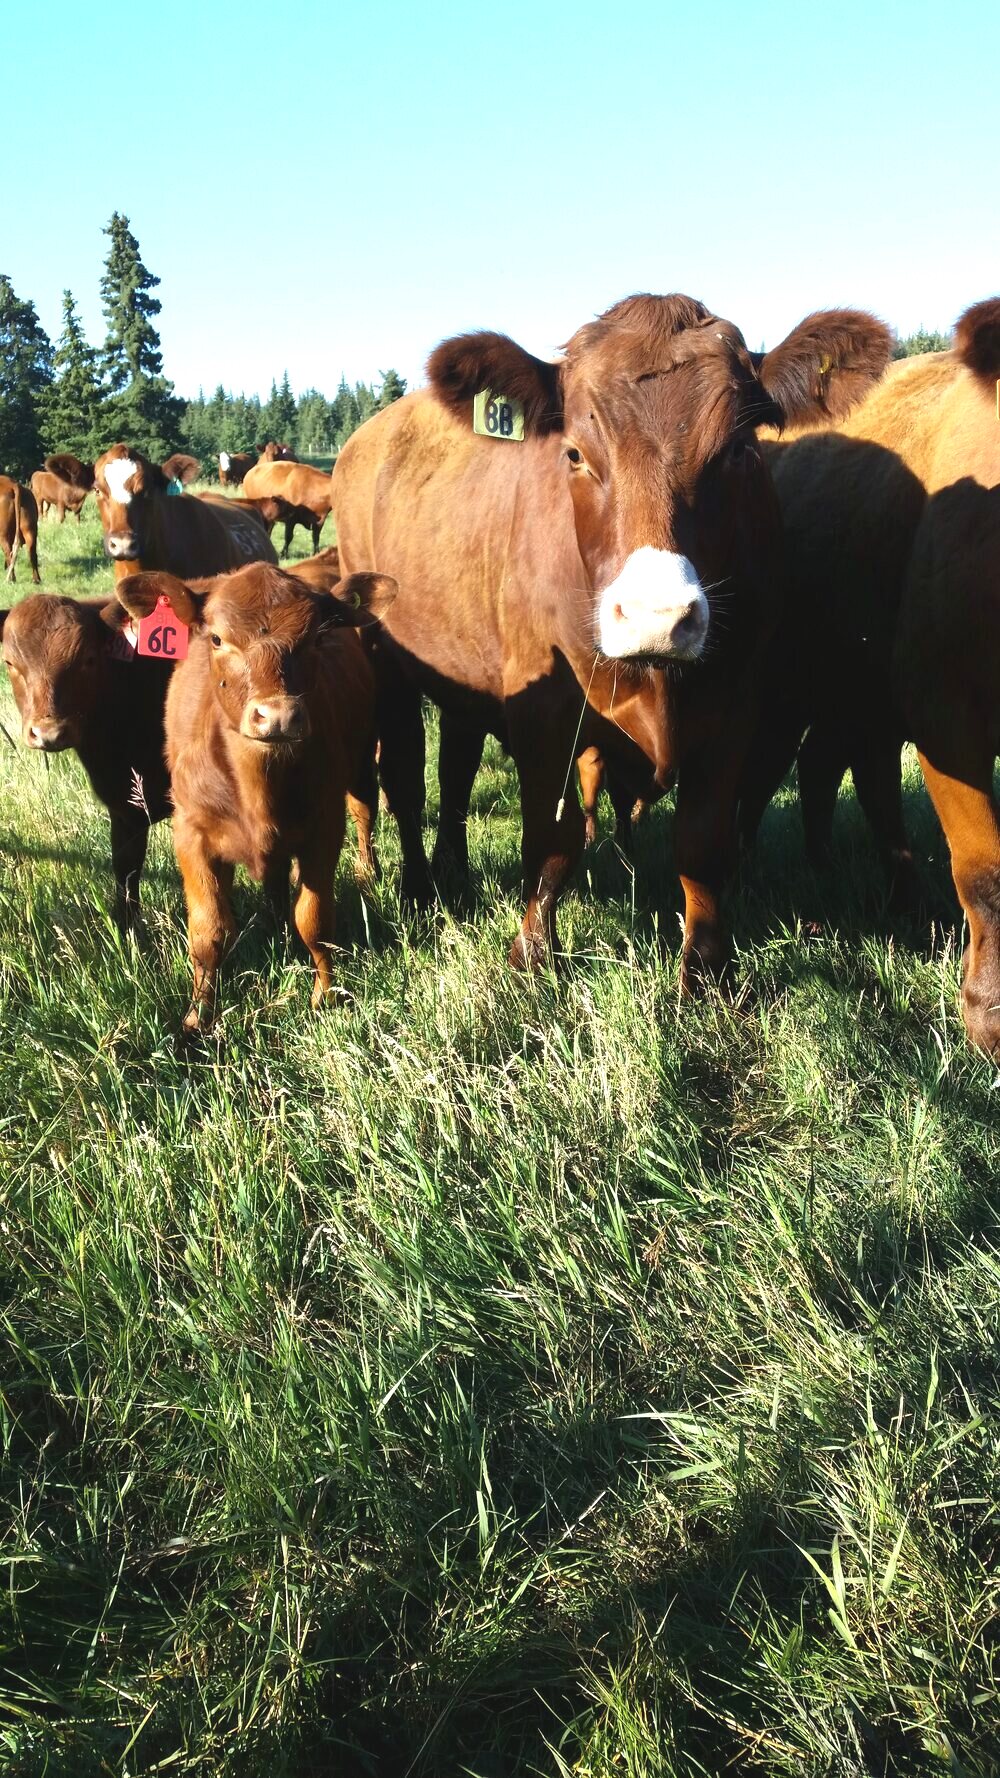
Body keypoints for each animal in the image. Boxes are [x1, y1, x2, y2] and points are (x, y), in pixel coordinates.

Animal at [0, 592, 172, 927]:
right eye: (10, 662)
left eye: (89, 659)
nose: (49, 733)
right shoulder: (125, 810)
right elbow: (126, 873)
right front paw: (130, 932)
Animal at [114, 562, 396, 1032]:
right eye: (216, 638)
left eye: (317, 638)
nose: (277, 716)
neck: (256, 788)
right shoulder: (191, 833)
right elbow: (209, 932)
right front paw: (198, 1018)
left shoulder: (324, 825)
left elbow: (315, 919)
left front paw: (325, 996)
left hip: (361, 762)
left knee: (364, 812)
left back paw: (365, 872)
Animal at [330, 292, 891, 982]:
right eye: (574, 453)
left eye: (738, 450)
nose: (657, 616)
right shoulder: (542, 707)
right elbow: (551, 840)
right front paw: (531, 955)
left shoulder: (737, 703)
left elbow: (702, 843)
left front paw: (705, 970)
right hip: (386, 658)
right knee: (407, 779)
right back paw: (417, 886)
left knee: (456, 764)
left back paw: (452, 873)